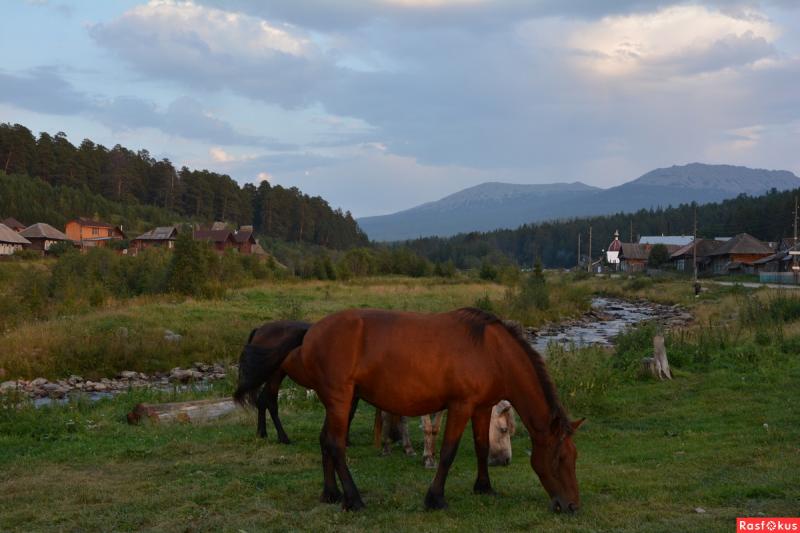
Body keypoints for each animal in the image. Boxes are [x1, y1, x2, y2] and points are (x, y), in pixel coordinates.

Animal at [262, 308, 580, 512]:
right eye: (560, 458)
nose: (572, 505)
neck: (492, 351)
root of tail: (310, 334)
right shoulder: (460, 406)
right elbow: (448, 452)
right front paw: (435, 499)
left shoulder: (481, 407)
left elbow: (480, 447)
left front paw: (484, 487)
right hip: (341, 401)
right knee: (336, 445)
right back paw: (354, 500)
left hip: (335, 403)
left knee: (325, 441)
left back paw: (331, 493)